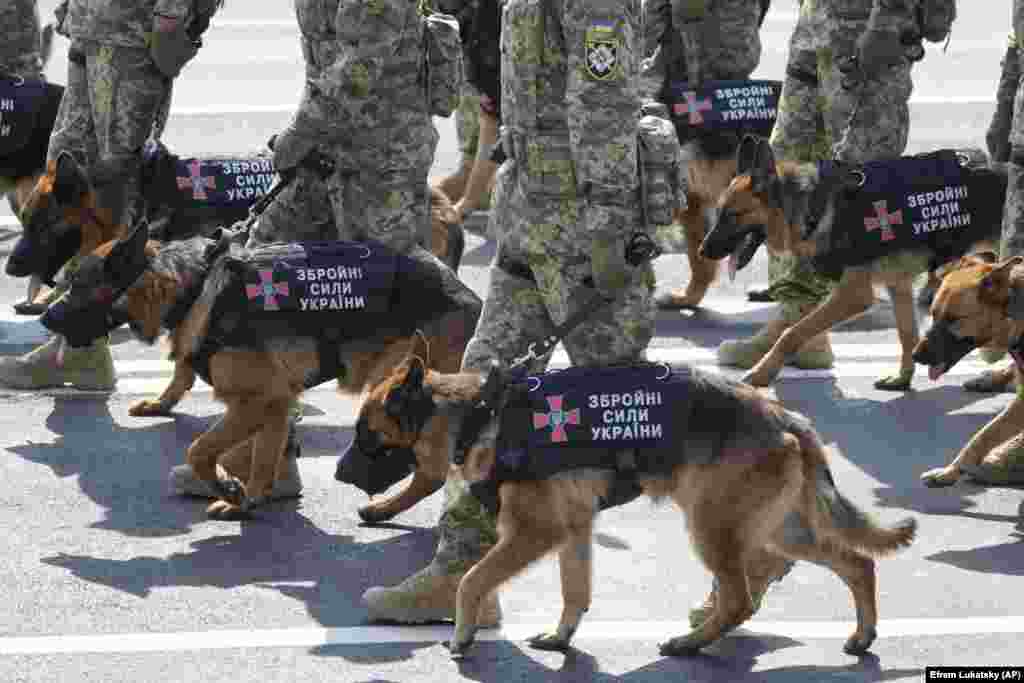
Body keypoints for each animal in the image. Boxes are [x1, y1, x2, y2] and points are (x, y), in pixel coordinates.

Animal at [354, 333, 921, 659]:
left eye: (366, 435)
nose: (341, 474)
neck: (478, 412)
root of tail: (787, 417)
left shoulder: (535, 532)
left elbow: (472, 579)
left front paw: (462, 635)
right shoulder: (573, 530)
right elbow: (575, 590)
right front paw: (562, 637)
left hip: (711, 527)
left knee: (740, 596)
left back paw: (691, 643)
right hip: (778, 528)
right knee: (854, 562)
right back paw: (862, 636)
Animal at [696, 136, 999, 389]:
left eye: (732, 215)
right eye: (719, 213)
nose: (701, 251)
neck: (813, 206)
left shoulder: (853, 295)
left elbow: (793, 332)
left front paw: (762, 373)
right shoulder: (897, 285)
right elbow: (907, 335)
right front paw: (903, 378)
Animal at [909, 253, 1024, 489]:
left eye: (953, 319)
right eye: (933, 314)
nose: (914, 356)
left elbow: (983, 435)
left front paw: (952, 471)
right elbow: (983, 436)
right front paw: (951, 471)